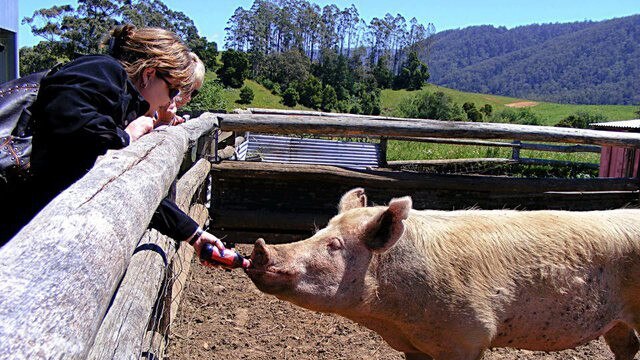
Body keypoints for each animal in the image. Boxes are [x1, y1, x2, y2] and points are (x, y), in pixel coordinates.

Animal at [246, 188, 640, 360]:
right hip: (618, 322)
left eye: (335, 245)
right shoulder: (411, 345)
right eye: (319, 231)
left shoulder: (468, 336)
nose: (260, 249)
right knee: (628, 347)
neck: (391, 317)